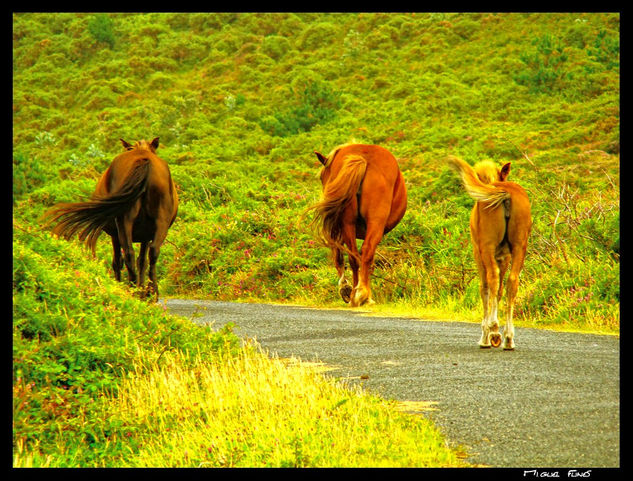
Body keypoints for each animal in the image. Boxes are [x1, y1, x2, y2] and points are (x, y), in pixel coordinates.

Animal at [43, 137, 178, 298]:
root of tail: (143, 159)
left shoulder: (118, 235)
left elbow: (120, 261)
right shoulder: (144, 235)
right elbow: (141, 261)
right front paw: (141, 289)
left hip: (127, 222)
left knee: (129, 254)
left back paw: (135, 290)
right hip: (157, 221)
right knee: (150, 252)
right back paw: (149, 292)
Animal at [308, 143, 408, 308]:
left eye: (322, 177)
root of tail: (363, 158)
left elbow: (340, 256)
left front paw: (345, 288)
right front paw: (348, 289)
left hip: (349, 222)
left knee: (354, 256)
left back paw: (357, 293)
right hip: (373, 221)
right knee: (364, 253)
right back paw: (361, 294)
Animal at [446, 158, 532, 348]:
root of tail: (506, 194)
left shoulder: (478, 252)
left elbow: (484, 287)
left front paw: (486, 334)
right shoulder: (505, 256)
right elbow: (499, 291)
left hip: (486, 247)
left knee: (491, 279)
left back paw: (493, 331)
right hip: (520, 247)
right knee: (512, 282)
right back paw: (509, 337)